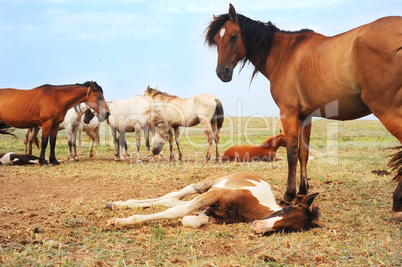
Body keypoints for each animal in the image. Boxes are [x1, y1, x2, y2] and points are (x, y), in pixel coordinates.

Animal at [106, 173, 320, 236]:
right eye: (286, 209)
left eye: (288, 229)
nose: (257, 227)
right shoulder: (214, 195)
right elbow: (178, 210)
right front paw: (119, 222)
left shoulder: (214, 215)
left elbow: (189, 219)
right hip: (205, 186)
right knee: (175, 195)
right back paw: (118, 205)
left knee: (169, 199)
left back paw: (118, 204)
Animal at [207, 4, 402, 222]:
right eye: (216, 41)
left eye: (233, 35)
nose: (222, 72)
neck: (285, 55)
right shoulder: (305, 116)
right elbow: (304, 152)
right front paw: (302, 191)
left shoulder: (289, 113)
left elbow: (292, 152)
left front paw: (289, 195)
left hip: (387, 110)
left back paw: (397, 203)